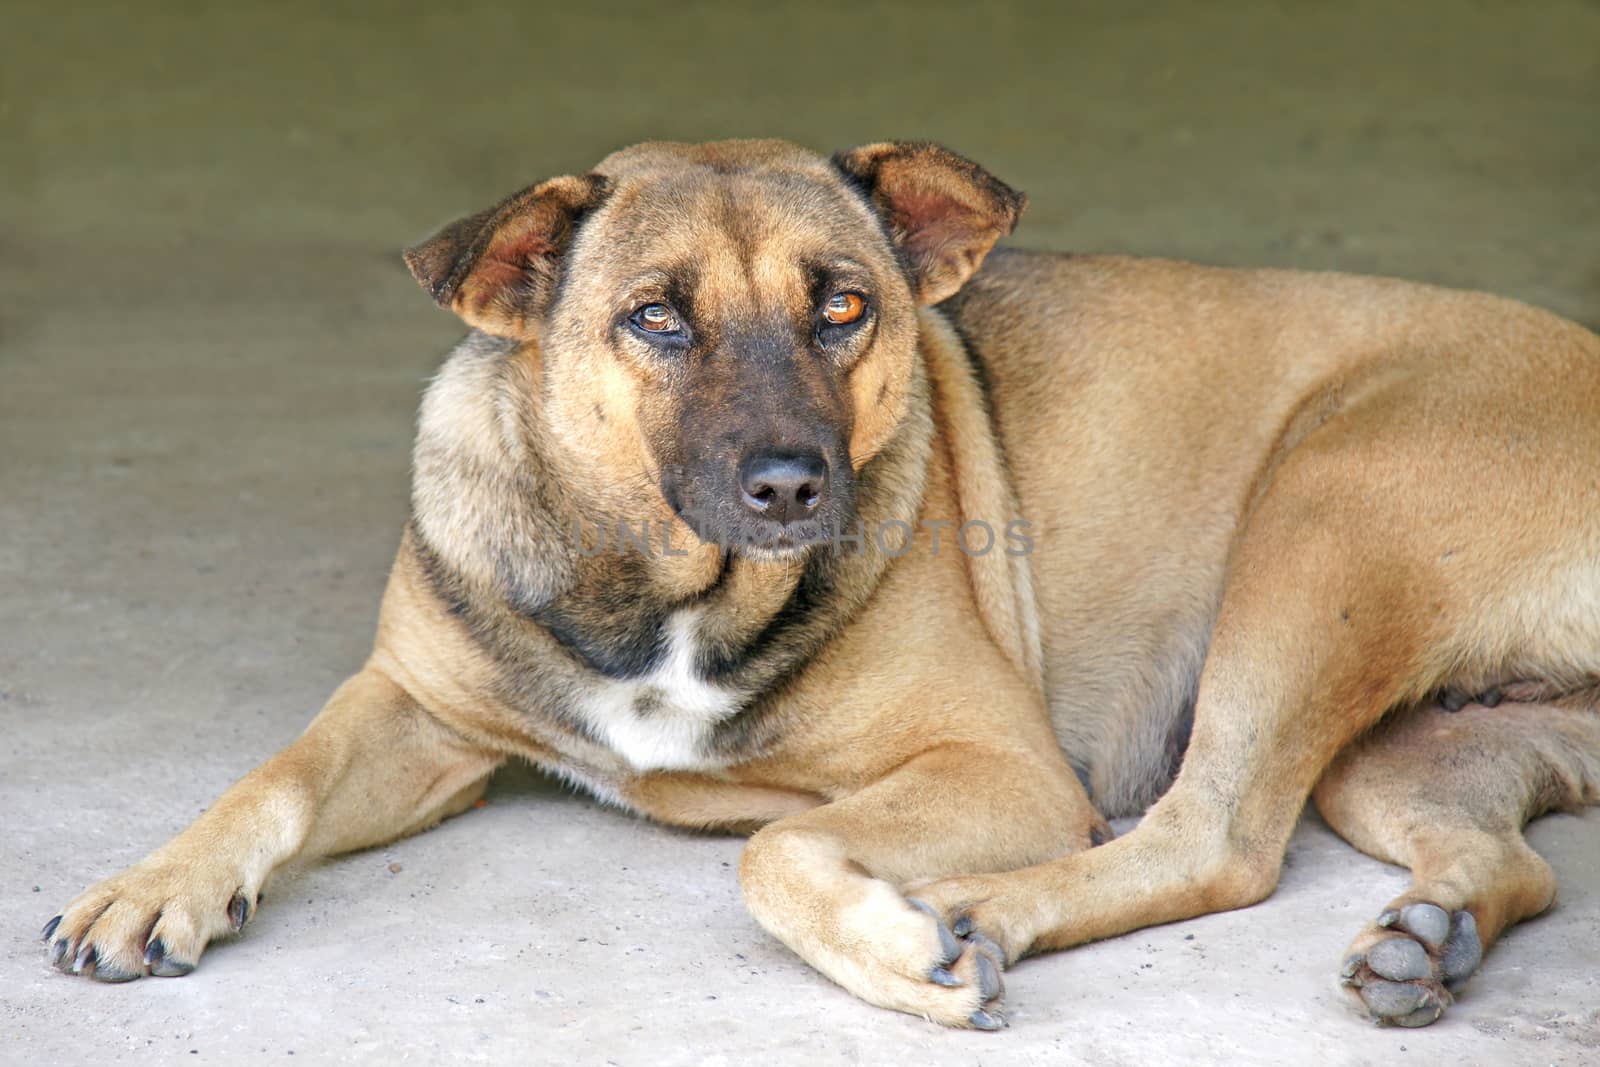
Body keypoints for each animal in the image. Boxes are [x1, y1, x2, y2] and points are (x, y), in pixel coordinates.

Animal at [43, 137, 1600, 1030]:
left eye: (844, 304)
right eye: (655, 319)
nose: (794, 485)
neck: (667, 584)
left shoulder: (996, 765)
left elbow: (775, 846)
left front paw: (896, 935)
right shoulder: (415, 709)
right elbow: (274, 778)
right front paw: (153, 882)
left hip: (1317, 525)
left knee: (1213, 838)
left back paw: (977, 916)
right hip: (1408, 742)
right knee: (1509, 862)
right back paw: (1432, 933)